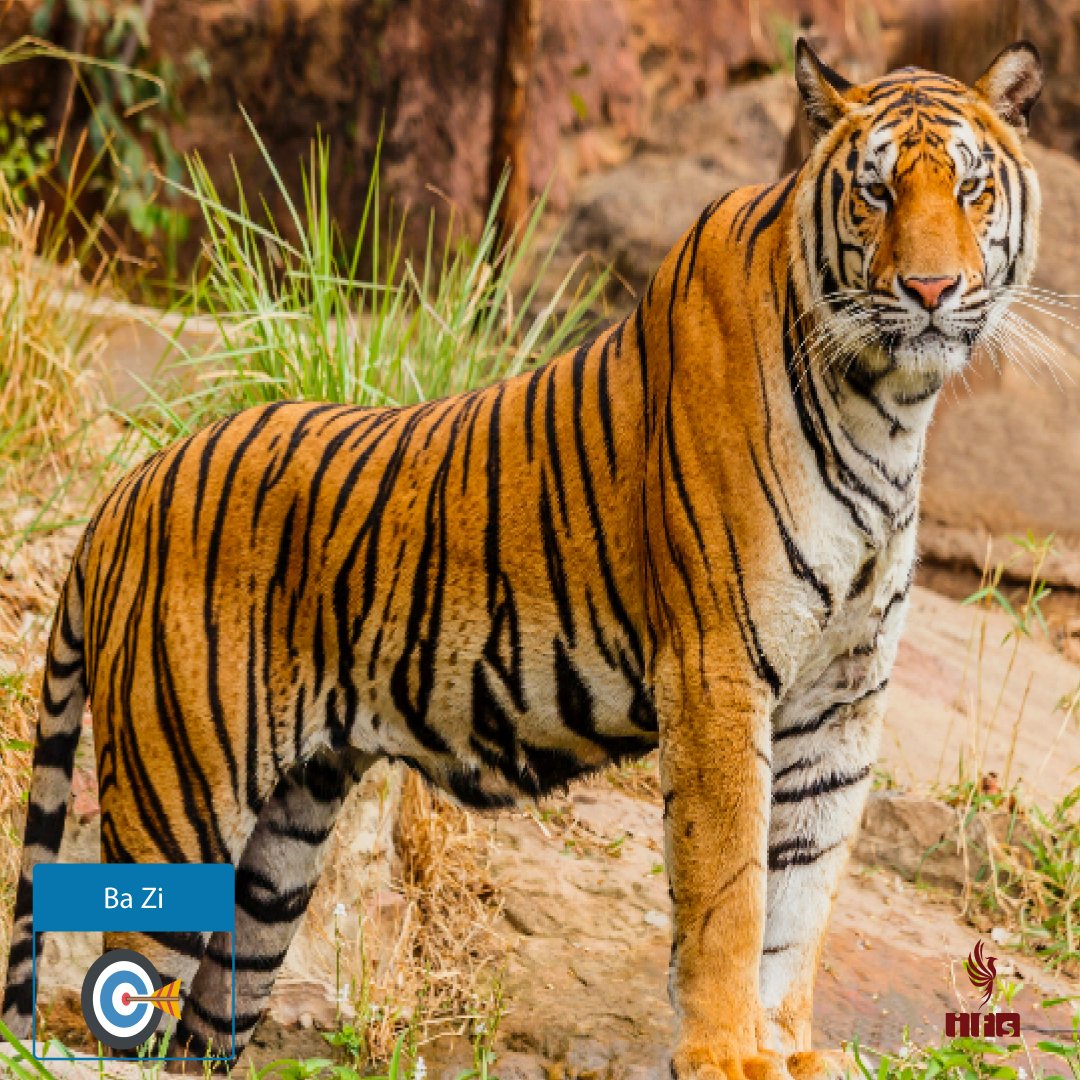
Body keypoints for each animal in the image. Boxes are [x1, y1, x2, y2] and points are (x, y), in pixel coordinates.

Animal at [3, 38, 1043, 1079]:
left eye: (971, 189)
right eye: (875, 191)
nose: (931, 292)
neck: (888, 407)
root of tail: (122, 493)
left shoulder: (842, 697)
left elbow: (802, 895)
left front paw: (784, 1051)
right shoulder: (718, 671)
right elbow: (732, 889)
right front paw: (722, 1053)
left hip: (275, 864)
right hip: (176, 806)